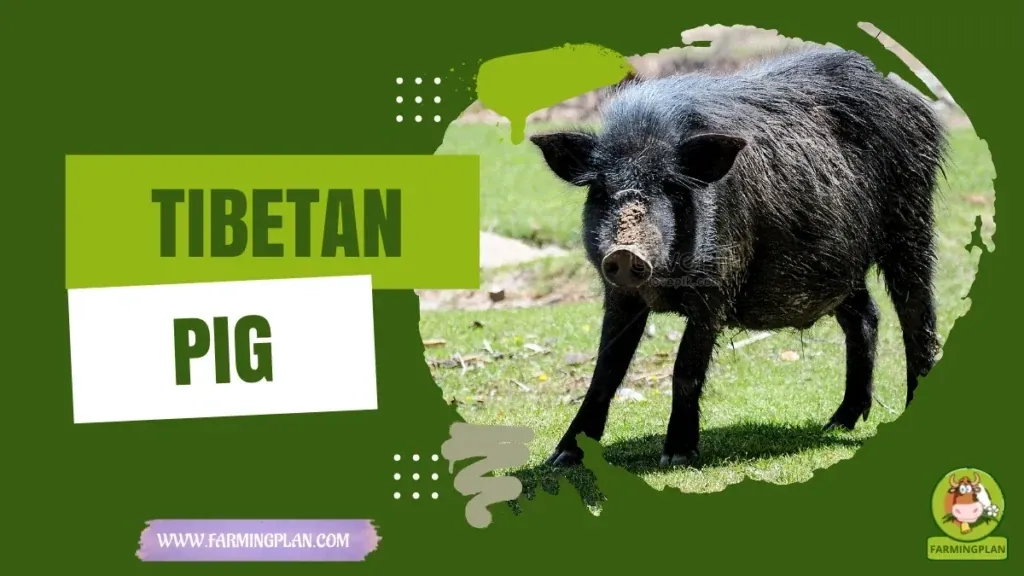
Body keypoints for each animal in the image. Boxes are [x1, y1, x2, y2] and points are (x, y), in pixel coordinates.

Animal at [529, 47, 948, 467]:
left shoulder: (718, 285)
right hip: (837, 266)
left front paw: (676, 457)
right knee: (866, 316)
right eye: (601, 189)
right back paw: (836, 423)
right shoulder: (620, 294)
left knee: (916, 313)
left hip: (912, 222)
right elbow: (606, 369)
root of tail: (911, 99)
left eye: (671, 186)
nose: (625, 251)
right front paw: (561, 459)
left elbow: (686, 367)